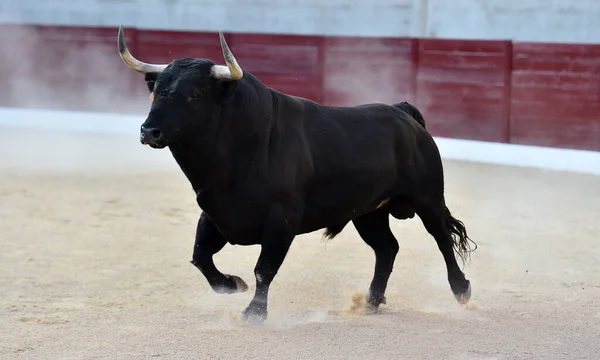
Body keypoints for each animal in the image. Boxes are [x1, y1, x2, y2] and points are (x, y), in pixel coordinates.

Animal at [116, 26, 474, 324]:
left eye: (194, 94)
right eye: (156, 92)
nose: (149, 131)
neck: (244, 144)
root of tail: (403, 113)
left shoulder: (281, 219)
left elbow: (264, 269)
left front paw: (253, 313)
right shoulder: (215, 213)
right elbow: (201, 257)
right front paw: (232, 285)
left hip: (427, 198)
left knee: (441, 239)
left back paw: (461, 291)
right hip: (368, 212)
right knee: (387, 248)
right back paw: (370, 302)